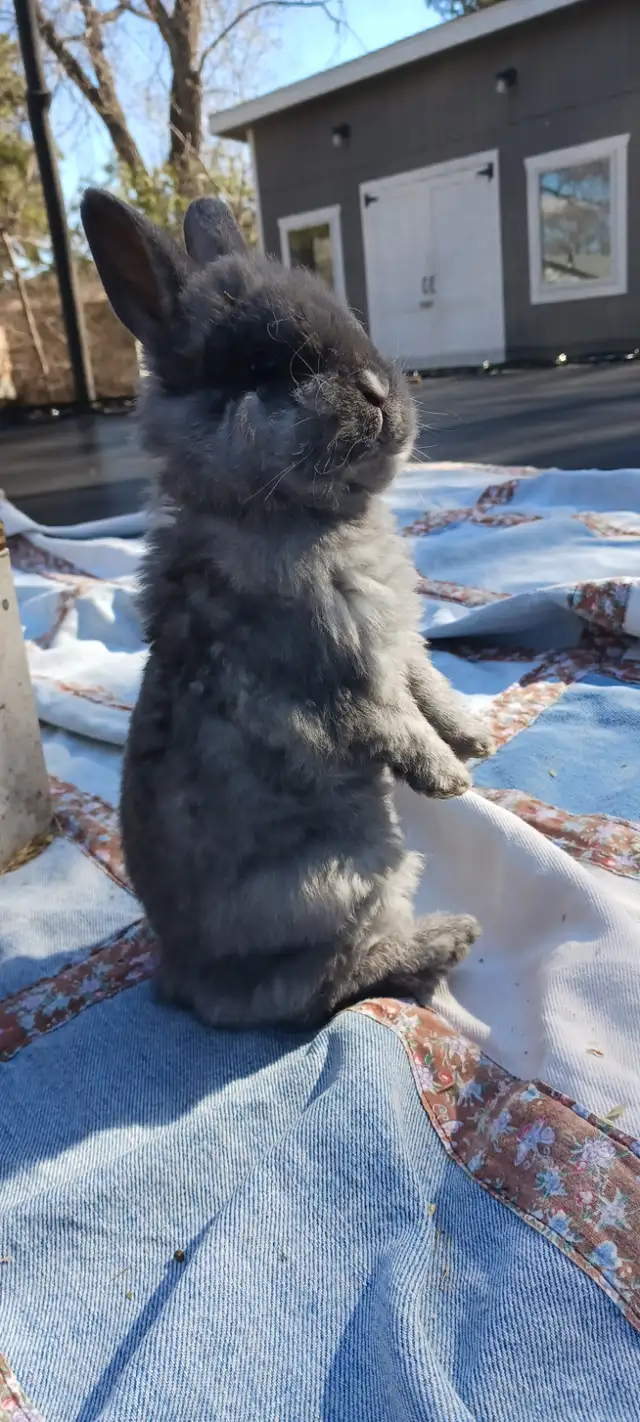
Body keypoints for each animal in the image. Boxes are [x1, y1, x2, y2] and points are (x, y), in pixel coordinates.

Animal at [81, 188, 492, 1028]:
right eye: (266, 368)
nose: (380, 392)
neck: (294, 517)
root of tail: (184, 976)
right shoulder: (335, 675)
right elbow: (392, 722)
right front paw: (449, 781)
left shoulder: (402, 647)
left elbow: (431, 688)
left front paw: (475, 741)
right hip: (353, 875)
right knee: (322, 985)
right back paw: (447, 938)